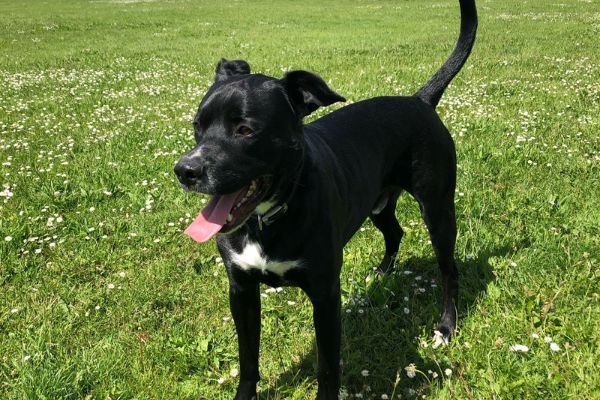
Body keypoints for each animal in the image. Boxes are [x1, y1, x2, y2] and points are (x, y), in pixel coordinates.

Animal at [175, 1, 478, 398]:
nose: (185, 170)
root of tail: (419, 101)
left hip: (438, 211)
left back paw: (445, 327)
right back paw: (382, 273)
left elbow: (328, 366)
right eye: (197, 126)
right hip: (377, 203)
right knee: (394, 231)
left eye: (244, 130)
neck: (269, 218)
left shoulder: (324, 295)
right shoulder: (241, 290)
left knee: (449, 271)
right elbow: (248, 359)